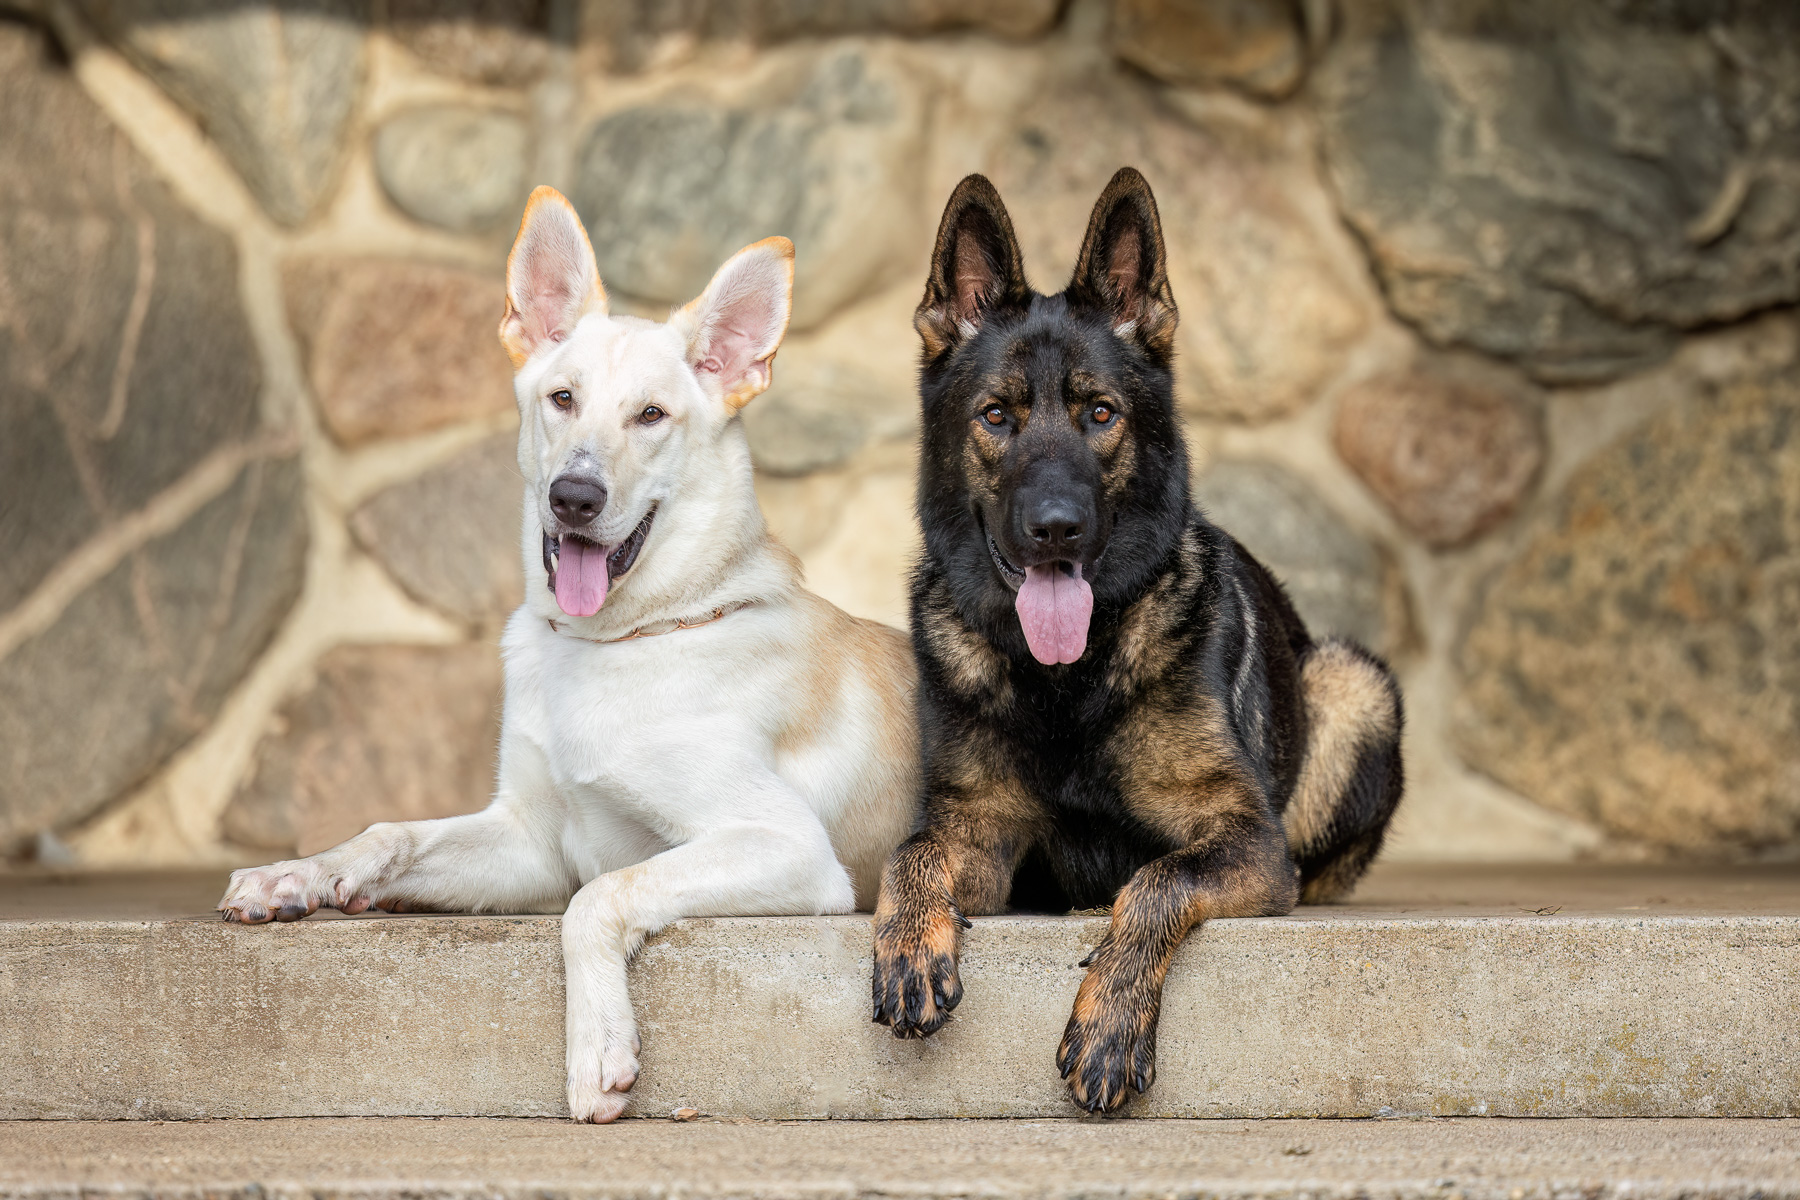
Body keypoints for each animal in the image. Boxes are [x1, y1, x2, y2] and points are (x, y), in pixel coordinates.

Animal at [219, 188, 921, 1129]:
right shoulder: (529, 840)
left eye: (650, 415)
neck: (611, 642)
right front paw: (299, 874)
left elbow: (599, 897)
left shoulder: (789, 848)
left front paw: (597, 1049)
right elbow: (389, 830)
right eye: (562, 398)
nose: (574, 497)